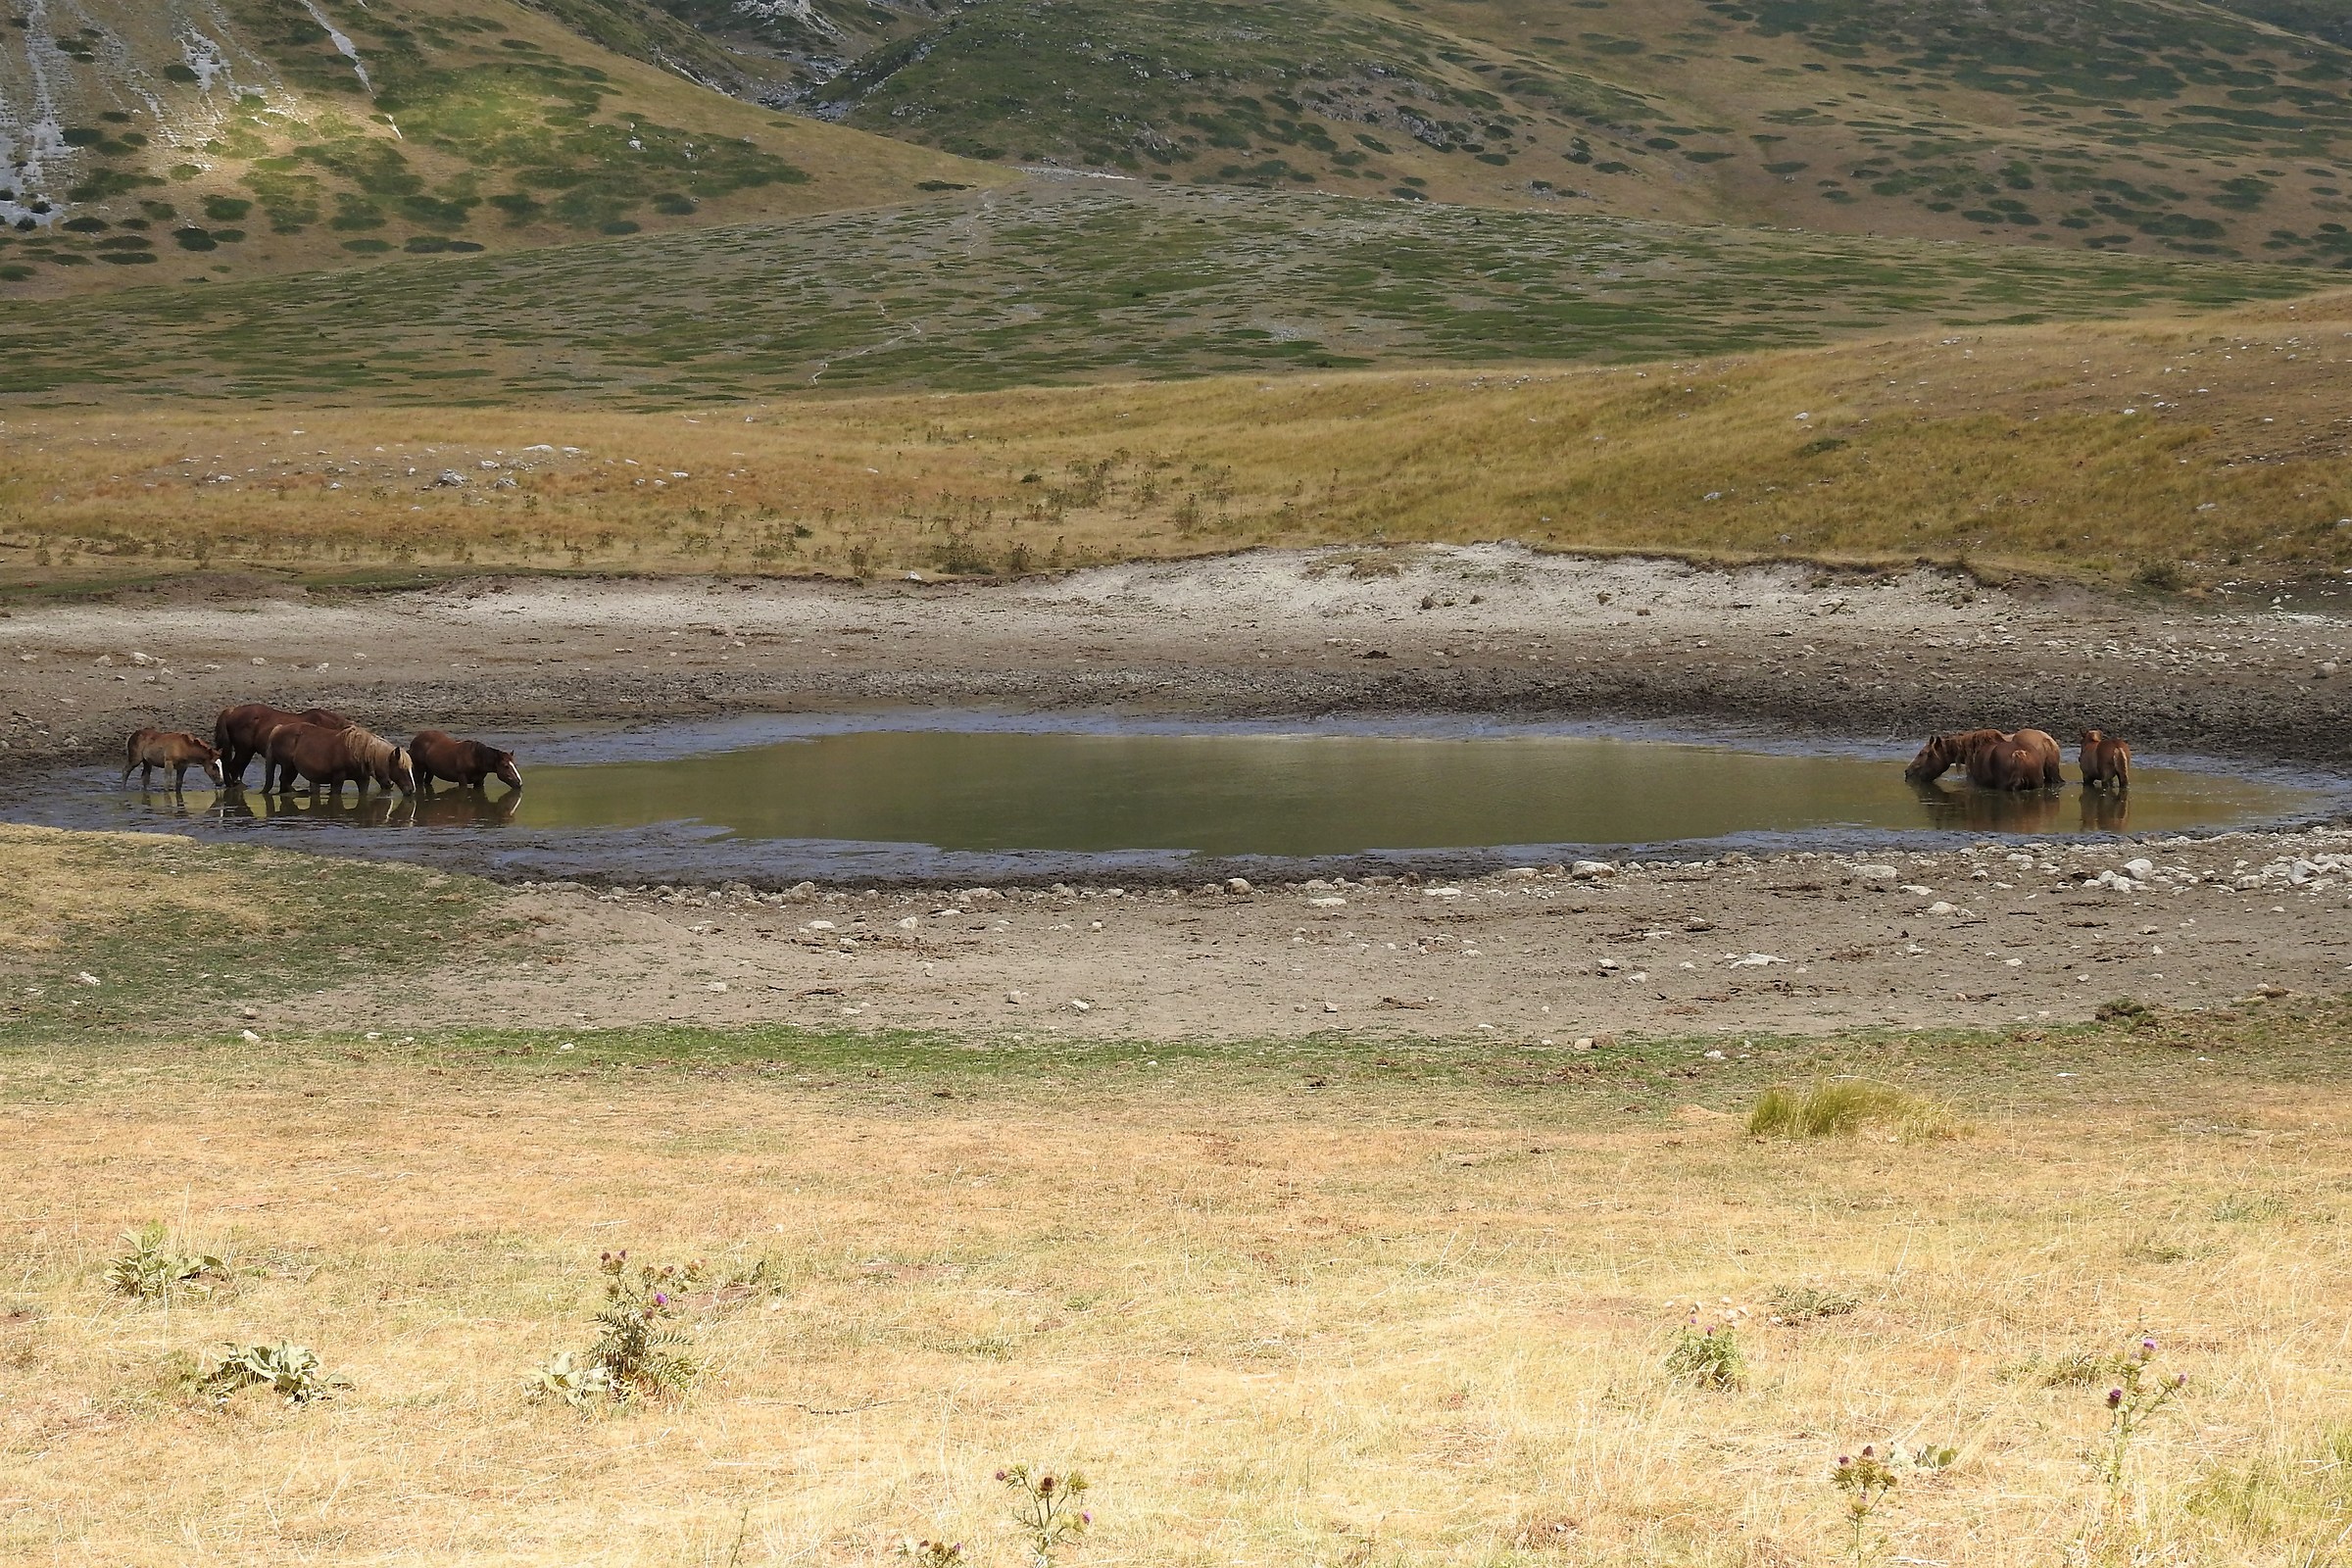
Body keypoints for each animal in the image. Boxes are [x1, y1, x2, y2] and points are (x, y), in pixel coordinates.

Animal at [261, 721, 414, 797]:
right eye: (401, 768)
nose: (411, 790)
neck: (357, 751)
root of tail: (278, 729)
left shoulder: (363, 780)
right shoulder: (338, 778)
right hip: (288, 767)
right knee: (284, 781)